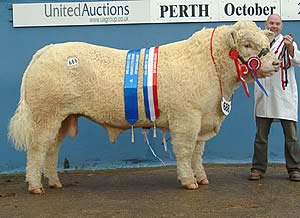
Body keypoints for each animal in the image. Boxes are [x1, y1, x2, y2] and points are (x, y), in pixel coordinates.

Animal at [9, 20, 282, 194]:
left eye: (264, 41)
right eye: (247, 44)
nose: (276, 62)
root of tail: (49, 49)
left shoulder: (202, 120)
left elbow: (197, 153)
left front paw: (201, 178)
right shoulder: (186, 118)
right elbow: (184, 152)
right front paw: (189, 181)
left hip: (63, 118)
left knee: (51, 149)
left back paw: (54, 182)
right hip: (45, 115)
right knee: (37, 149)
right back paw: (35, 186)